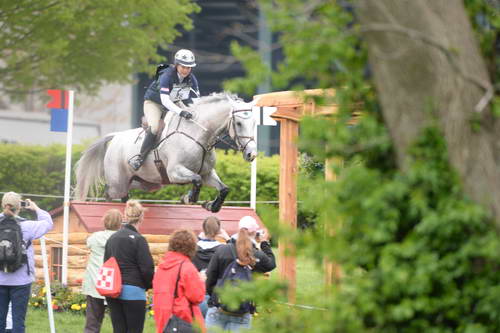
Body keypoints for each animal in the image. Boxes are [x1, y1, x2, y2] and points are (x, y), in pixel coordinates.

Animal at [76, 92, 260, 213]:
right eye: (238, 123)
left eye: (254, 123)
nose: (251, 154)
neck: (199, 135)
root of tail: (115, 137)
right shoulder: (175, 172)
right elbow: (197, 180)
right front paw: (188, 198)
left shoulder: (208, 173)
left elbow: (223, 188)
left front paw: (211, 205)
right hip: (118, 183)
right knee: (110, 193)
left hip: (146, 183)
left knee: (126, 192)